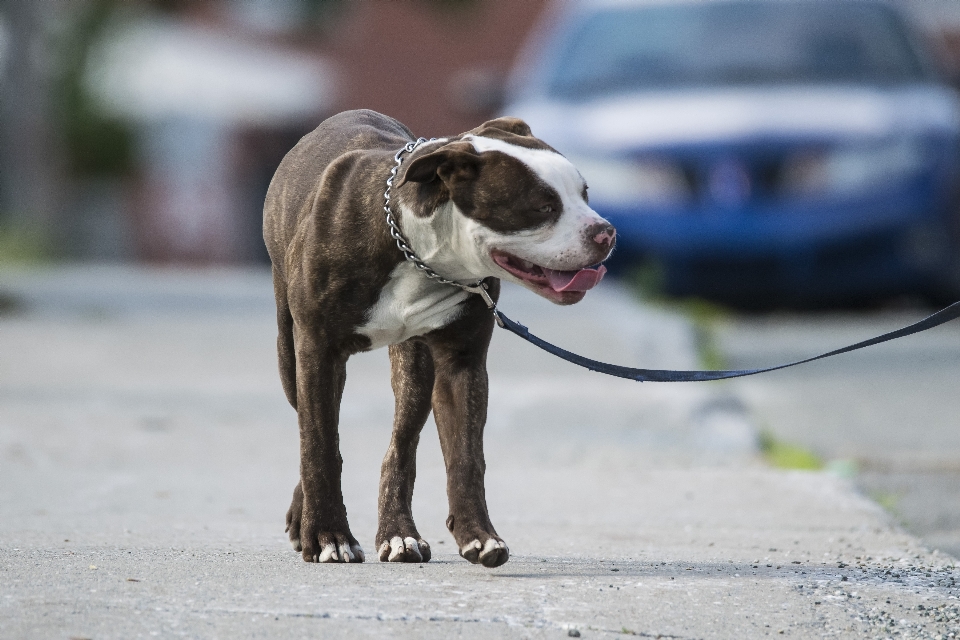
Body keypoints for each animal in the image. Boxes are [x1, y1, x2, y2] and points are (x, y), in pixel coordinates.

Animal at [262, 111, 616, 568]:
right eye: (543, 207)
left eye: (584, 194)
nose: (606, 232)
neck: (419, 253)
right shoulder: (317, 352)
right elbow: (319, 446)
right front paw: (328, 536)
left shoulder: (461, 364)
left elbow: (466, 457)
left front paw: (479, 536)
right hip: (290, 352)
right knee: (312, 423)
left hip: (414, 367)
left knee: (401, 445)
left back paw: (399, 535)